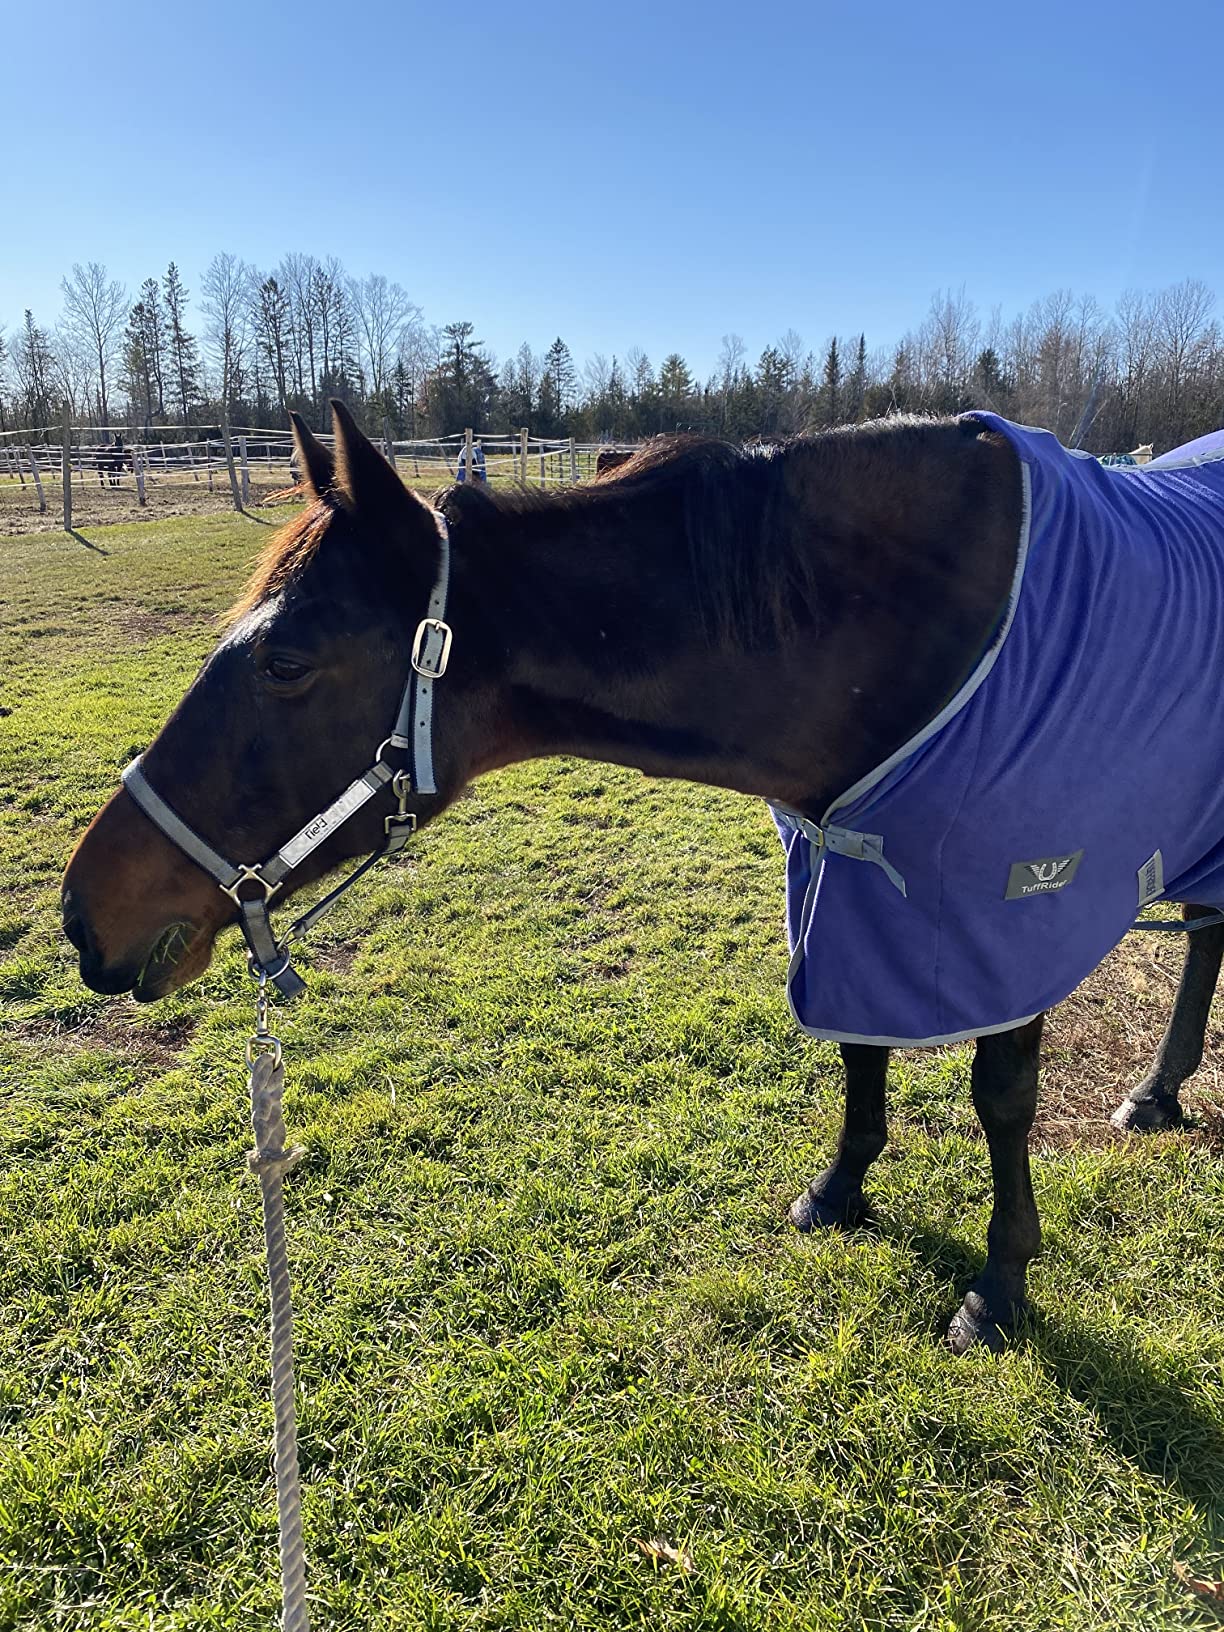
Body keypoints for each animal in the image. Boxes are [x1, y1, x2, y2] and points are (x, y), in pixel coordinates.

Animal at [61, 401, 1224, 1353]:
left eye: (286, 663)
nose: (82, 915)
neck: (906, 620)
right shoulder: (841, 884)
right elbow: (857, 1044)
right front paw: (840, 1189)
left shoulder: (1013, 910)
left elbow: (1001, 1098)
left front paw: (1000, 1281)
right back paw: (1158, 1092)